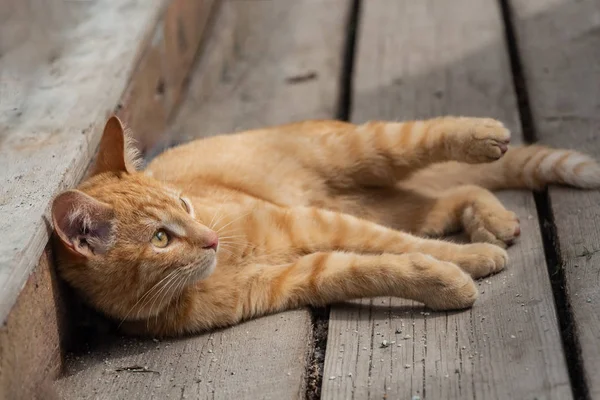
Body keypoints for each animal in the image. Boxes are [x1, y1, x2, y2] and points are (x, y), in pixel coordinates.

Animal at [52, 116, 600, 338]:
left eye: (185, 203)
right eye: (161, 238)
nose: (209, 239)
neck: (221, 265)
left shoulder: (310, 222)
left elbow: (393, 248)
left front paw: (467, 262)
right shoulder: (299, 276)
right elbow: (375, 267)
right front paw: (448, 280)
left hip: (366, 152)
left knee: (427, 139)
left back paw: (484, 137)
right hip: (390, 202)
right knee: (455, 195)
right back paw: (493, 220)